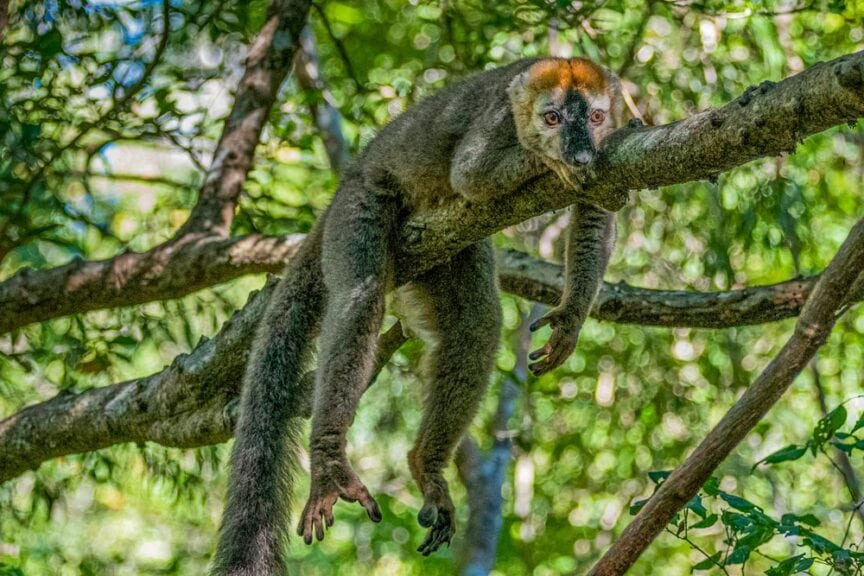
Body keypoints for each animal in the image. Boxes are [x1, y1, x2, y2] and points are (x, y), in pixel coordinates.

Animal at [211, 56, 623, 575]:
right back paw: (329, 462)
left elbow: (596, 208)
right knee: (359, 299)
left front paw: (570, 317)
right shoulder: (496, 122)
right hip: (360, 205)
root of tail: (346, 180)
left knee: (476, 325)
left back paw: (425, 463)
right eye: (552, 119)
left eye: (595, 117)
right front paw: (551, 161)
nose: (579, 151)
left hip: (444, 250)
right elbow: (470, 175)